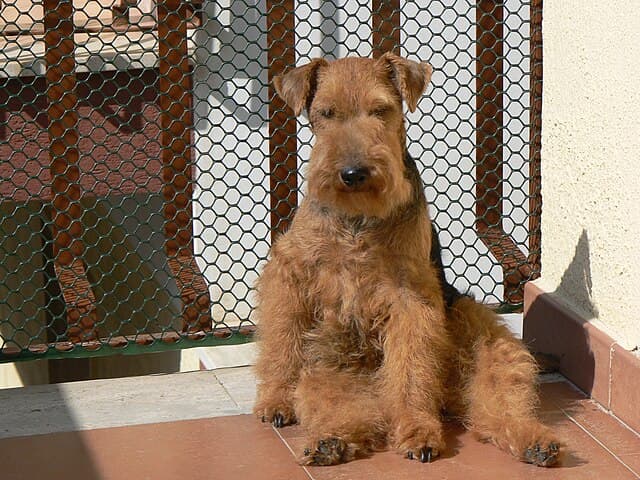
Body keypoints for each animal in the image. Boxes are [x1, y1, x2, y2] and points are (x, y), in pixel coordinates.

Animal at [252, 54, 564, 466]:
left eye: (380, 110)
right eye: (326, 113)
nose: (353, 173)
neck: (358, 220)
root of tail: (447, 397)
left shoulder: (409, 297)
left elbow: (412, 369)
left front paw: (416, 427)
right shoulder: (291, 274)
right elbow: (281, 344)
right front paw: (275, 398)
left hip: (484, 338)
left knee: (498, 403)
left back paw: (516, 439)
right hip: (334, 366)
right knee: (343, 406)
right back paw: (331, 441)